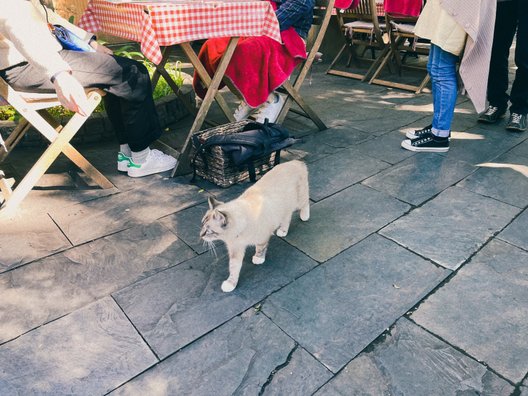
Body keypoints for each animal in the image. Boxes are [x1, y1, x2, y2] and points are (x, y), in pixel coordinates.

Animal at [201, 159, 310, 292]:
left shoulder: (262, 237)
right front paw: (231, 284)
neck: (236, 235)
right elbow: (234, 267)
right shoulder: (235, 249)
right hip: (284, 207)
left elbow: (260, 248)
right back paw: (283, 231)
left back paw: (304, 216)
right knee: (287, 216)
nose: (200, 235)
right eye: (202, 226)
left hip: (298, 201)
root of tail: (296, 162)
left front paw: (258, 258)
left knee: (305, 203)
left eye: (208, 231)